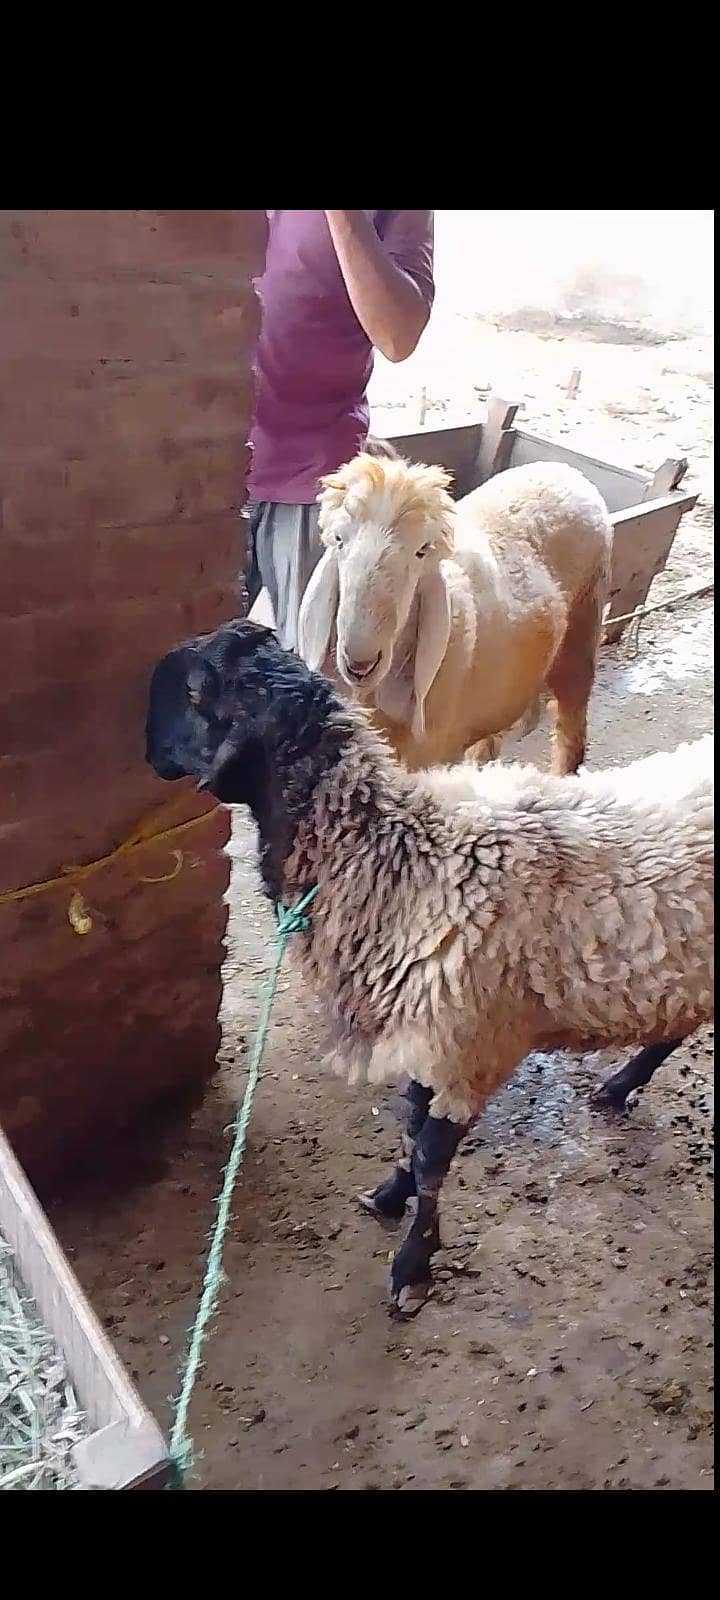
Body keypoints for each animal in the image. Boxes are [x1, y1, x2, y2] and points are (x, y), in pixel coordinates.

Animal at [146, 621, 714, 1316]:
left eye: (197, 691)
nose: (145, 742)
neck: (396, 853)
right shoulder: (426, 1033)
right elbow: (411, 1132)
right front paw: (392, 1199)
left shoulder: (468, 1045)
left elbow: (430, 1157)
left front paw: (414, 1265)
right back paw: (620, 1084)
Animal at [298, 451, 612, 775]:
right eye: (338, 539)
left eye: (422, 550)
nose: (360, 664)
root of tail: (568, 470)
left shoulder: (432, 748)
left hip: (582, 631)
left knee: (571, 729)